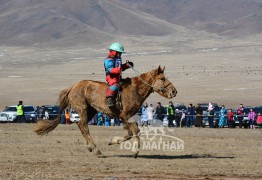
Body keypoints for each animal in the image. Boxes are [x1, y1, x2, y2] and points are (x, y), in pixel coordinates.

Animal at [33, 65, 177, 158]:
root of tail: (72, 87)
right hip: (82, 108)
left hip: (91, 110)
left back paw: (89, 146)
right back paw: (96, 149)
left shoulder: (127, 117)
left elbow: (131, 133)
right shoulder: (124, 116)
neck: (135, 90)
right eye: (162, 79)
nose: (174, 91)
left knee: (80, 125)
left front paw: (112, 141)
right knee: (84, 126)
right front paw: (135, 152)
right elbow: (135, 132)